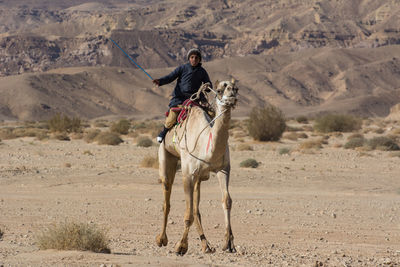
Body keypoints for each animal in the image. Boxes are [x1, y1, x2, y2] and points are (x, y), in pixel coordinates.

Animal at [155, 79, 238, 255]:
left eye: (236, 88)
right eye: (219, 90)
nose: (232, 95)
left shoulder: (223, 169)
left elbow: (226, 201)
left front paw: (229, 244)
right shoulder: (188, 174)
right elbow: (188, 215)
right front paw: (180, 246)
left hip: (199, 178)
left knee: (196, 208)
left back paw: (206, 245)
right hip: (166, 156)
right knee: (167, 198)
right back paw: (161, 239)